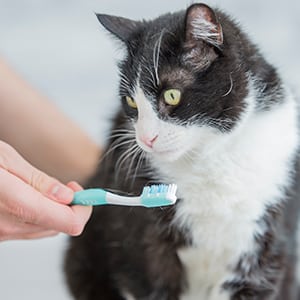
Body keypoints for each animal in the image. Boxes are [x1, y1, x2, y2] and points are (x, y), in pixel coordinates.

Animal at [65, 2, 300, 300]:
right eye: (131, 101)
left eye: (171, 95)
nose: (145, 139)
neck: (209, 158)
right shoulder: (140, 242)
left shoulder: (262, 238)